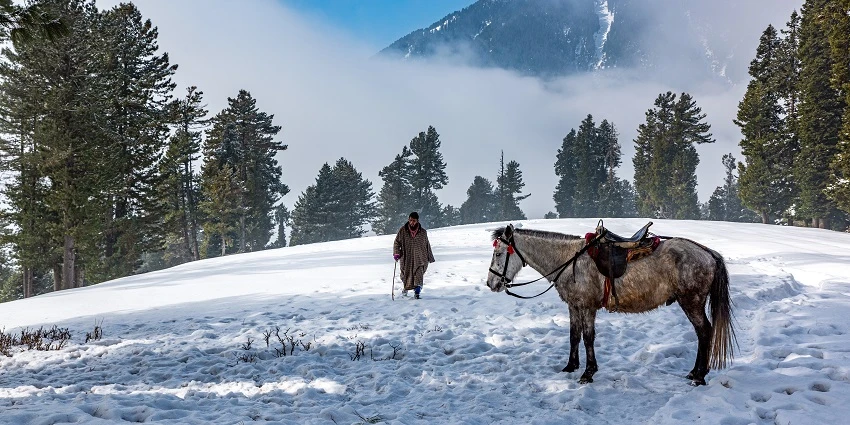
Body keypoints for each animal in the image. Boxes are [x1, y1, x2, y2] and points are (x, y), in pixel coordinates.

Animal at [486, 224, 735, 386]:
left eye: (498, 253)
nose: (491, 283)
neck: (569, 260)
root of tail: (708, 253)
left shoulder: (588, 307)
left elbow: (588, 338)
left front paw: (588, 373)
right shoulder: (574, 306)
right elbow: (574, 335)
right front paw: (571, 366)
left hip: (691, 301)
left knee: (704, 332)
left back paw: (699, 376)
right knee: (703, 333)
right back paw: (694, 372)